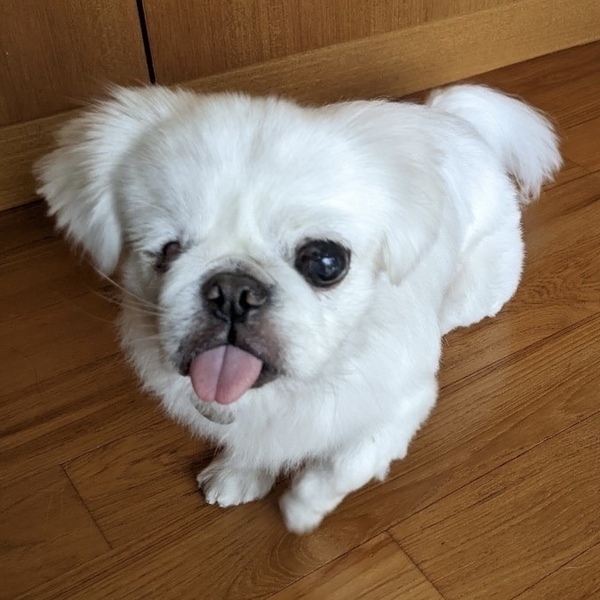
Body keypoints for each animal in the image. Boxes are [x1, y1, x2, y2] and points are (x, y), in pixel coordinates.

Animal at [36, 84, 560, 532]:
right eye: (166, 252)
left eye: (326, 262)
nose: (233, 290)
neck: (298, 386)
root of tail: (453, 120)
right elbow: (254, 442)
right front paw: (240, 473)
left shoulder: (401, 405)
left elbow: (346, 462)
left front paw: (303, 508)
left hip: (474, 292)